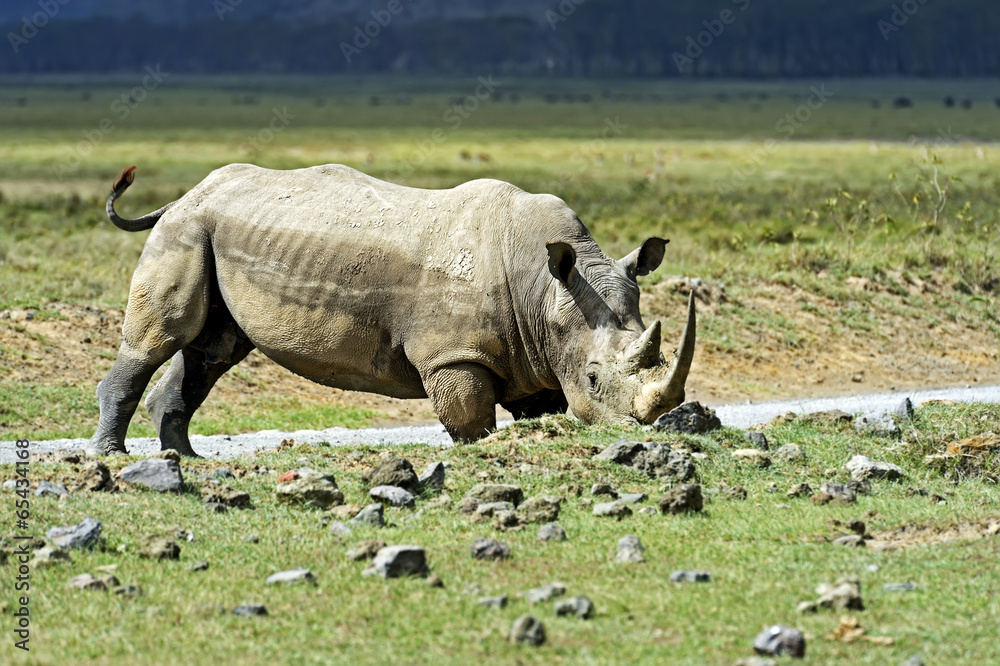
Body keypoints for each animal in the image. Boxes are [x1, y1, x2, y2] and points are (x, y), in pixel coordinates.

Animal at [88, 163, 695, 456]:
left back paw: (186, 459)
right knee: (163, 339)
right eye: (593, 379)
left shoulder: (537, 356)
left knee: (211, 350)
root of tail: (185, 194)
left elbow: (537, 410)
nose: (641, 436)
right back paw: (112, 456)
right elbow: (470, 420)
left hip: (214, 230)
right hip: (188, 229)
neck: (548, 291)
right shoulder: (453, 355)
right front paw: (480, 452)